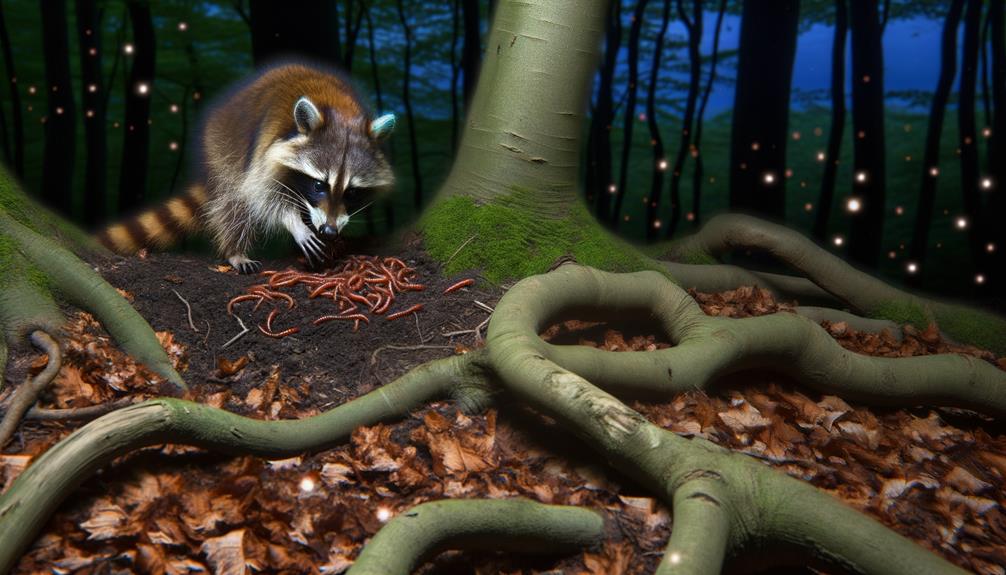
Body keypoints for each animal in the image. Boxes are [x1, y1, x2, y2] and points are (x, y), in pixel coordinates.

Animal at [98, 64, 394, 275]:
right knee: (234, 202)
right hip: (223, 146)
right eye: (319, 184)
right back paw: (235, 250)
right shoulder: (265, 153)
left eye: (351, 192)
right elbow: (263, 198)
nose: (329, 231)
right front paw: (295, 224)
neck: (339, 111)